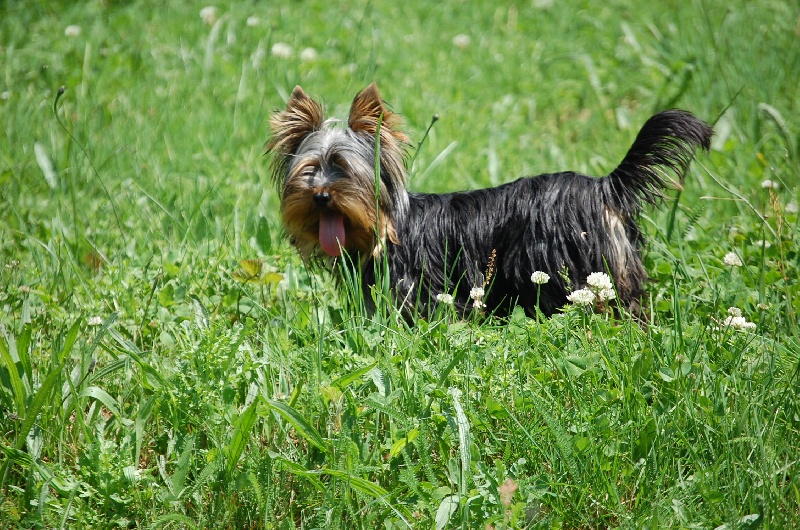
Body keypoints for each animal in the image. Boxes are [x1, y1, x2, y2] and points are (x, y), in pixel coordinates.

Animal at [268, 84, 712, 318]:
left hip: (578, 272)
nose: (321, 195)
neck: (387, 231)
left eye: (343, 169)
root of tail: (605, 186)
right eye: (309, 171)